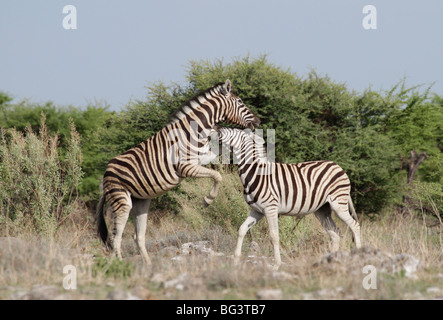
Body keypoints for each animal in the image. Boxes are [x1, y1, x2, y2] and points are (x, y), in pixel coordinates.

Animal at [96, 80, 260, 264]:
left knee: (138, 237)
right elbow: (217, 176)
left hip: (140, 202)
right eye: (240, 102)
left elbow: (217, 166)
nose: (258, 121)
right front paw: (207, 200)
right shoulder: (186, 167)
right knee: (116, 238)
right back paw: (120, 265)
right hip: (121, 200)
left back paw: (148, 266)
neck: (194, 130)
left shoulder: (201, 158)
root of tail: (105, 175)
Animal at [217, 126, 362, 268]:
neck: (256, 174)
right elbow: (242, 229)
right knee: (335, 233)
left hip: (338, 204)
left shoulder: (270, 209)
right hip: (322, 210)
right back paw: (329, 261)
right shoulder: (257, 211)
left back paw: (358, 256)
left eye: (232, 133)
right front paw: (236, 261)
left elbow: (274, 236)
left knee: (355, 225)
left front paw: (277, 264)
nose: (217, 128)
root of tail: (338, 166)